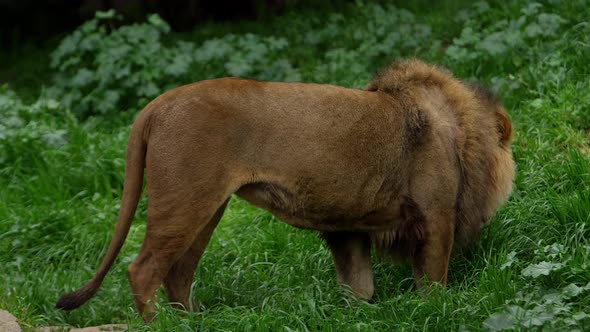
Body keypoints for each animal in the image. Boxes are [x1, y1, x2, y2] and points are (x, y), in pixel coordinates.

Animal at [56, 59, 520, 320]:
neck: (461, 128)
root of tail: (156, 105)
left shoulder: (349, 226)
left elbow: (359, 288)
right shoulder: (436, 216)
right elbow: (433, 282)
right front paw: (434, 311)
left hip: (207, 208)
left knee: (178, 273)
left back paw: (196, 322)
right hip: (185, 203)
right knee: (143, 270)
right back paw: (164, 324)